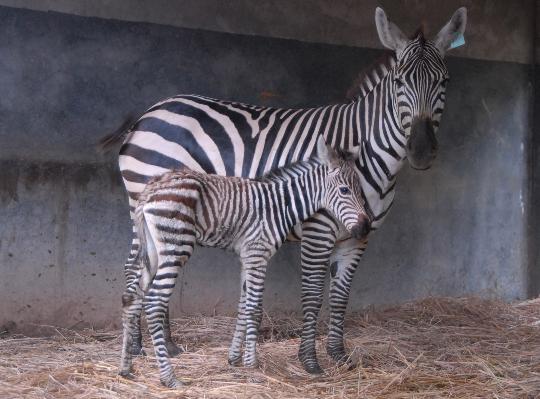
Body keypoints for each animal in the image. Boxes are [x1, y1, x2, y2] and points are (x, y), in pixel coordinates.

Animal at [119, 137, 370, 388]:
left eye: (360, 190)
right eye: (345, 190)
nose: (365, 228)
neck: (281, 205)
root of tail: (150, 188)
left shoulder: (246, 257)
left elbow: (242, 306)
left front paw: (234, 359)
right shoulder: (258, 254)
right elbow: (254, 309)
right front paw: (252, 364)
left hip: (153, 250)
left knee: (132, 297)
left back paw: (126, 368)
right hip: (176, 247)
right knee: (154, 302)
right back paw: (169, 378)